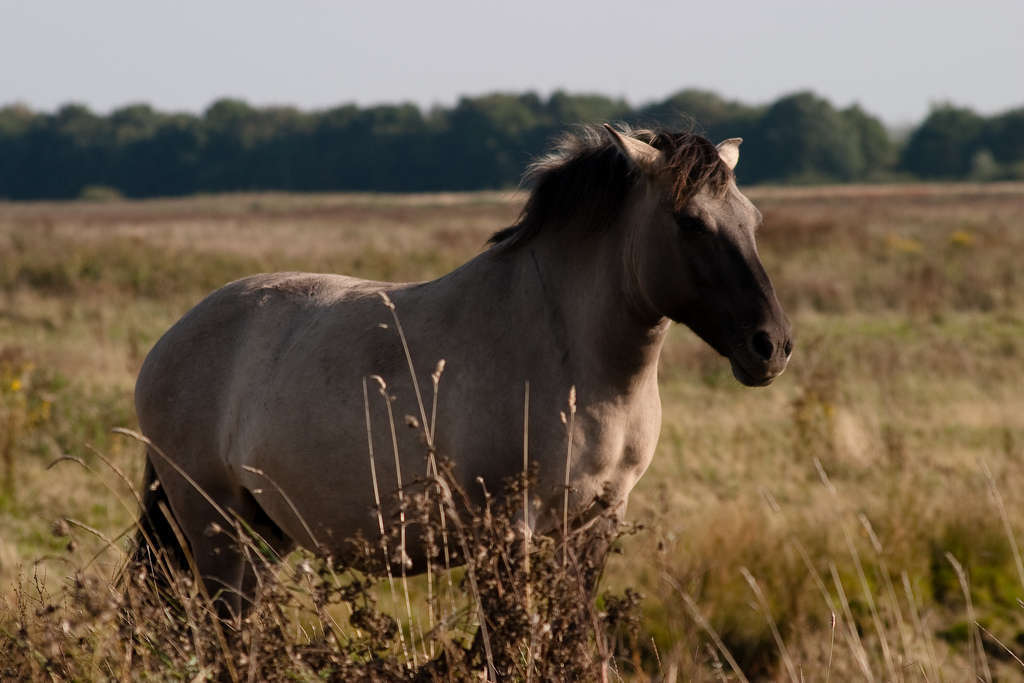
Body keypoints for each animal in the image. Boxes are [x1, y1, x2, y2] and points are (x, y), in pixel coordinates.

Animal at [132, 122, 790, 618]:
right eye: (689, 222)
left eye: (754, 219)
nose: (772, 346)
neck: (574, 362)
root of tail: (167, 344)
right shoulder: (504, 533)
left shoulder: (593, 524)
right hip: (216, 530)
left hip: (264, 536)